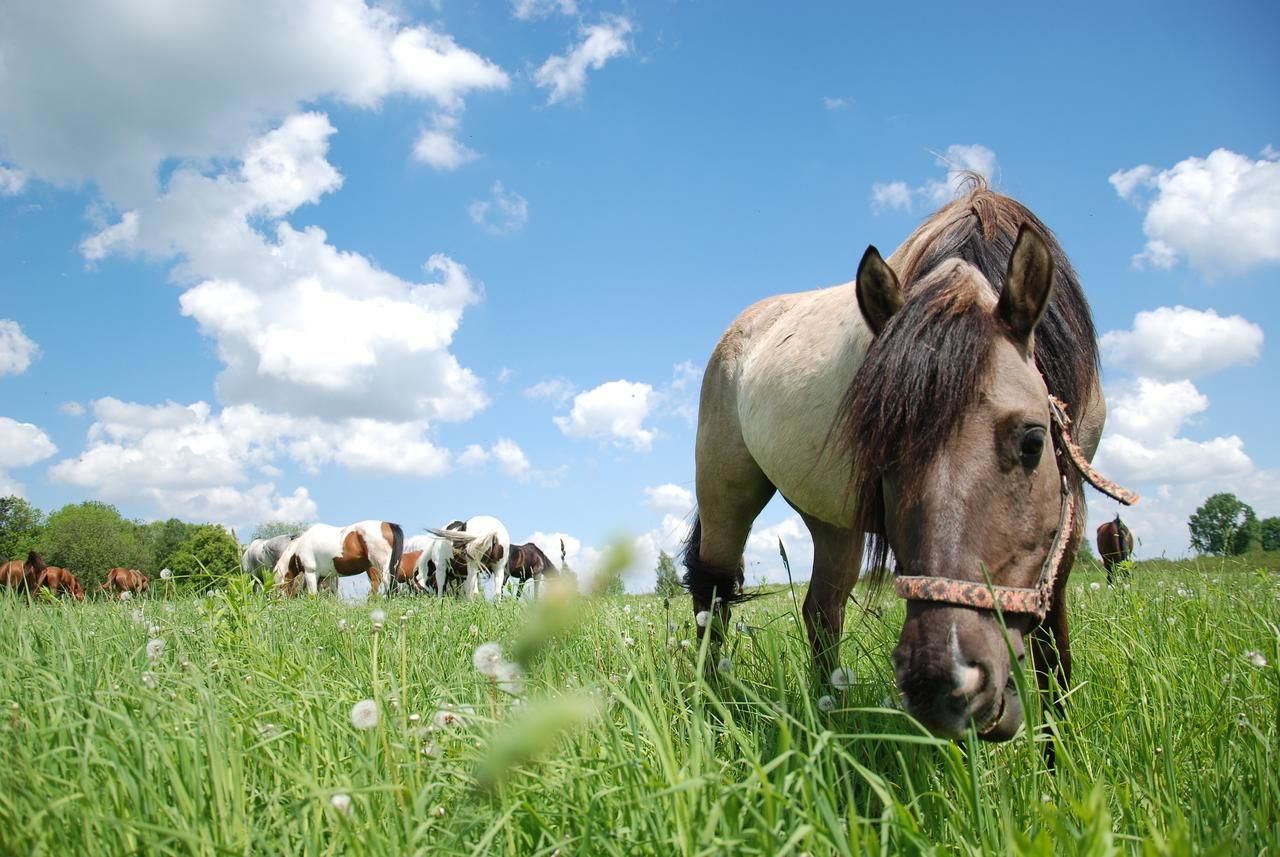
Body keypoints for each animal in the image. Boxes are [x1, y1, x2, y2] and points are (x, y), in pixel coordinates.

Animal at [271, 519, 404, 601]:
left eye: (278, 586)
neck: (300, 546)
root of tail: (388, 524)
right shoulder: (328, 576)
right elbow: (332, 595)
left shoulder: (311, 573)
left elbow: (313, 595)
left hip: (380, 566)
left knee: (384, 583)